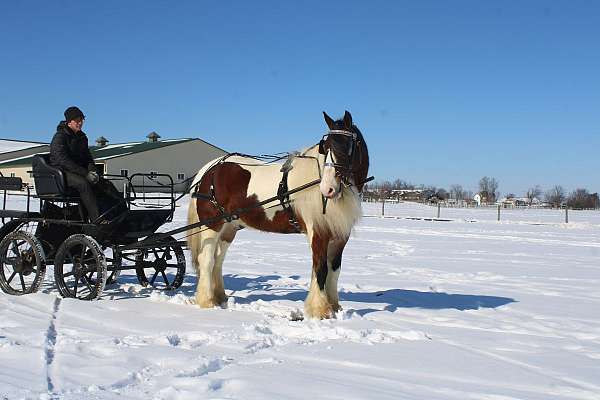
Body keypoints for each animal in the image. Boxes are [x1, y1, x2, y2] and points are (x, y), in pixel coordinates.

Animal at [186, 110, 370, 318]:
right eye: (327, 147)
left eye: (347, 147)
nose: (328, 189)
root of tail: (210, 168)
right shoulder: (318, 232)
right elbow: (320, 268)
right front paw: (319, 310)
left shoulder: (339, 237)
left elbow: (334, 269)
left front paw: (334, 306)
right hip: (211, 225)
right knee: (206, 260)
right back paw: (207, 301)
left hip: (229, 228)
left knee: (218, 260)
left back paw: (219, 296)